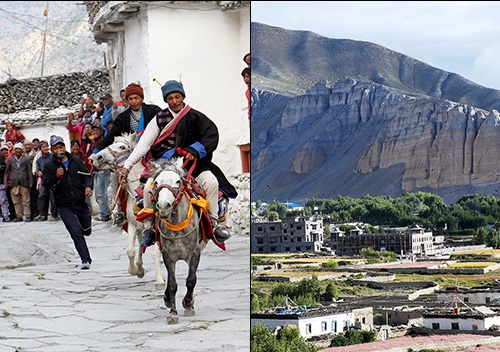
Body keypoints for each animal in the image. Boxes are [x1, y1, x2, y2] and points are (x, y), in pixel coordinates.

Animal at [86, 133, 164, 288]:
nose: (98, 157)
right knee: (140, 244)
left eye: (122, 147)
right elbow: (130, 251)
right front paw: (135, 270)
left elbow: (156, 253)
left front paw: (160, 280)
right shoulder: (134, 225)